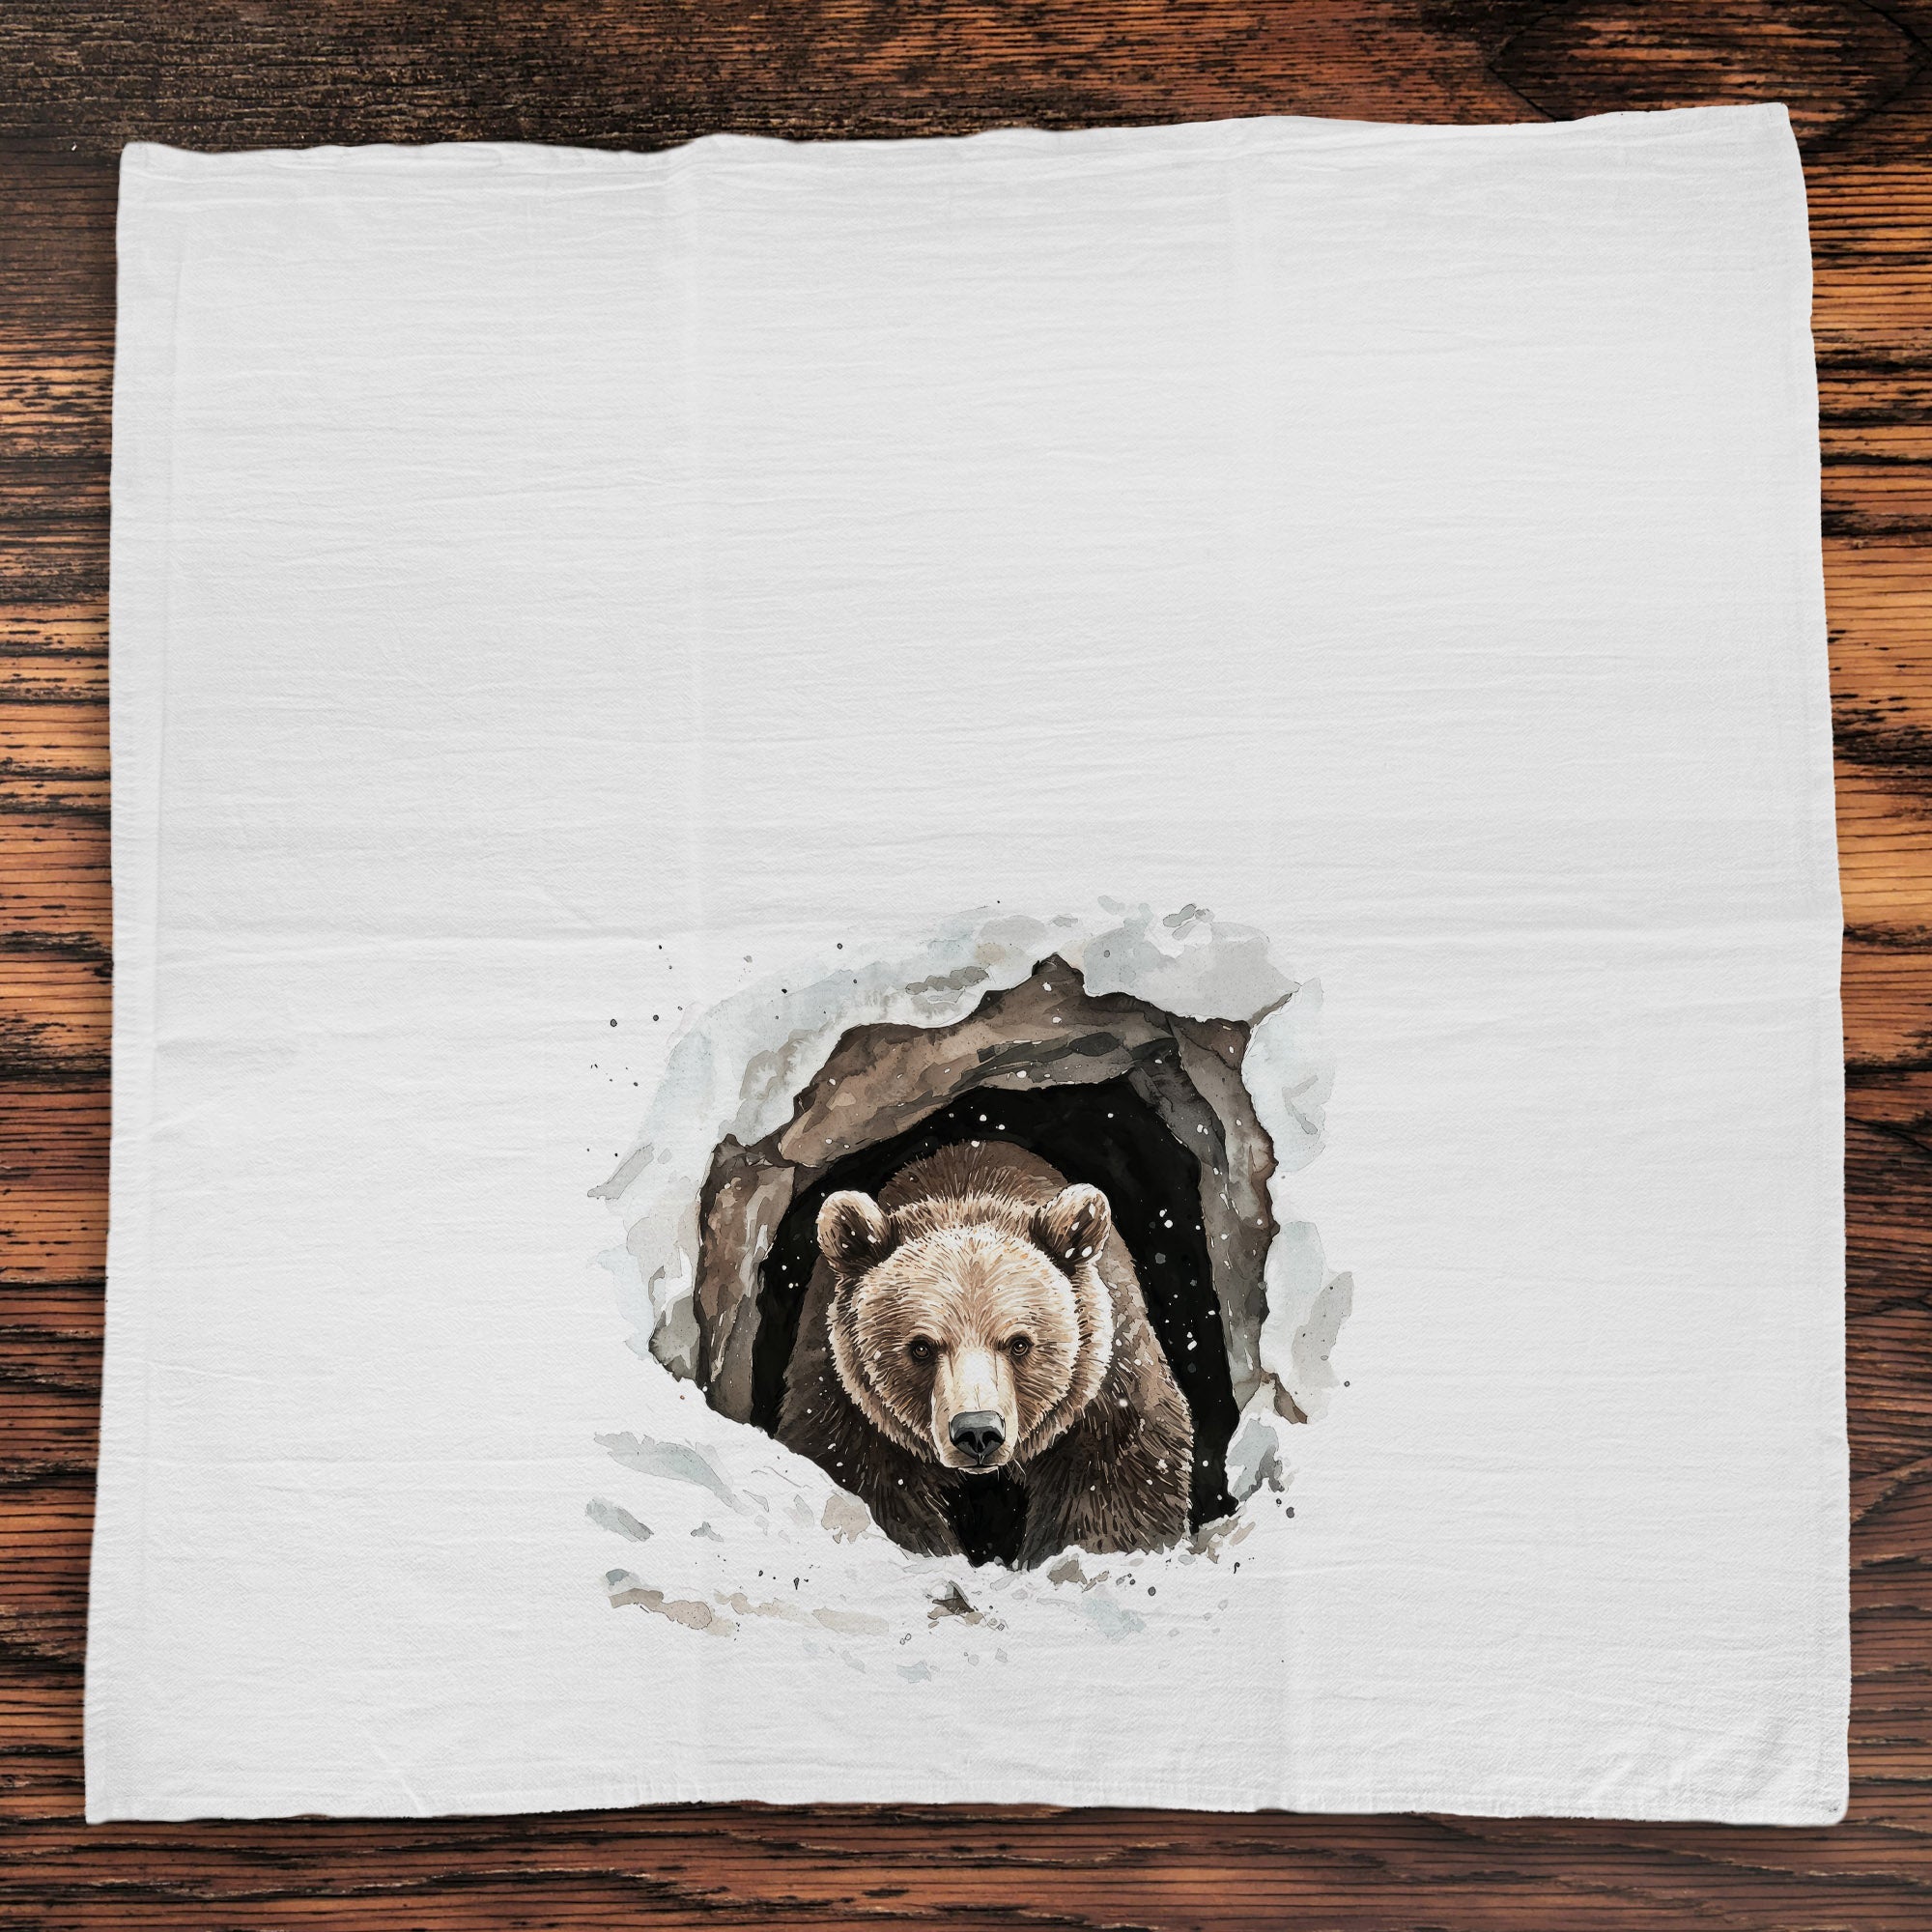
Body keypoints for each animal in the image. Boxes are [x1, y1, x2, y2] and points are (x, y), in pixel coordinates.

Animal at [776, 1138, 1194, 1568]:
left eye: (1019, 1343)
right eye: (921, 1347)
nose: (977, 1432)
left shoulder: (1107, 1390)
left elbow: (1113, 1487)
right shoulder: (844, 1402)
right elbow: (866, 1477)